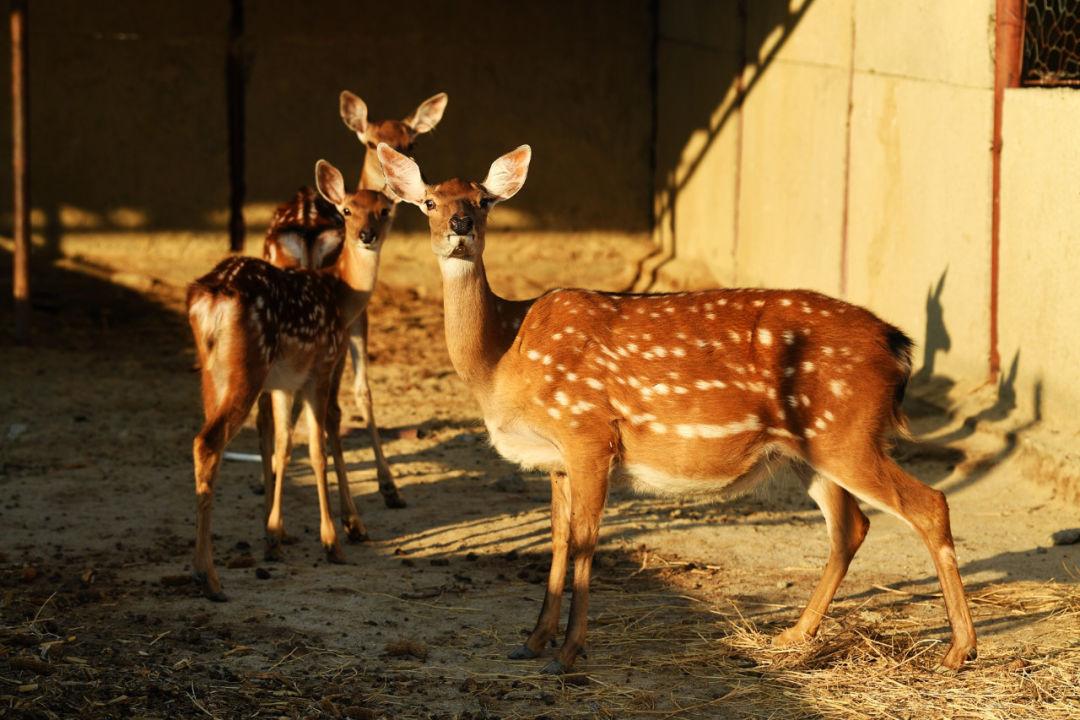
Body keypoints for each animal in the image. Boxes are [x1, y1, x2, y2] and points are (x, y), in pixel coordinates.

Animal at [187, 158, 395, 604]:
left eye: (385, 210)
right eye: (347, 211)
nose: (367, 235)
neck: (340, 294)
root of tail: (210, 297)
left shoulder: (285, 381)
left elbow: (284, 444)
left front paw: (274, 534)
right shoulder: (320, 367)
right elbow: (317, 447)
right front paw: (332, 541)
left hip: (212, 372)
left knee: (208, 440)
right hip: (247, 367)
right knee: (209, 442)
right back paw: (209, 578)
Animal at [257, 88, 447, 511]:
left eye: (412, 142)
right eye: (372, 142)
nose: (401, 170)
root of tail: (306, 227)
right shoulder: (357, 314)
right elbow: (363, 392)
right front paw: (387, 486)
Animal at [380, 142, 980, 677]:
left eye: (483, 200)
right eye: (430, 201)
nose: (460, 224)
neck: (503, 356)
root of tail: (897, 346)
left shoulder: (588, 431)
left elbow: (585, 542)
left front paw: (568, 655)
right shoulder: (555, 458)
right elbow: (557, 542)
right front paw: (531, 642)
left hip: (846, 432)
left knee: (928, 505)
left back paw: (958, 652)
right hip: (809, 449)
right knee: (851, 526)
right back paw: (792, 634)